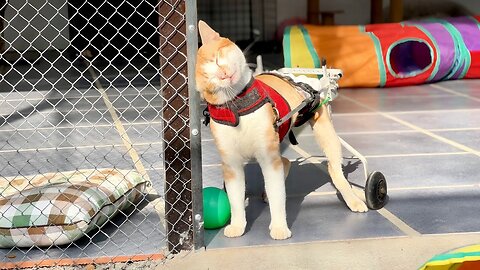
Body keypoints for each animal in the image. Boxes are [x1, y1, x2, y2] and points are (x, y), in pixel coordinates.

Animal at [196, 21, 368, 240]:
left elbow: (278, 197)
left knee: (335, 169)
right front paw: (237, 225)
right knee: (286, 161)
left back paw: (353, 198)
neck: (239, 108)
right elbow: (235, 200)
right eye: (210, 81)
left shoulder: (269, 159)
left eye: (217, 59)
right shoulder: (232, 165)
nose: (223, 75)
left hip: (325, 131)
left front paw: (279, 227)